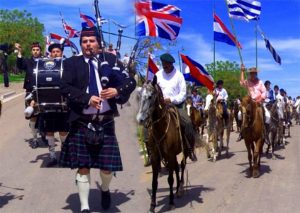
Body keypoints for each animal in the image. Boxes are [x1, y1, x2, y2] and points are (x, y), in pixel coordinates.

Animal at [136, 76, 188, 213]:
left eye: (150, 96)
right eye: (139, 96)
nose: (140, 119)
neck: (161, 128)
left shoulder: (169, 155)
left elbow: (170, 179)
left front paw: (171, 202)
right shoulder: (155, 157)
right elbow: (154, 182)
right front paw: (152, 206)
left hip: (184, 151)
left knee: (182, 165)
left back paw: (180, 188)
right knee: (176, 168)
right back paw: (177, 190)